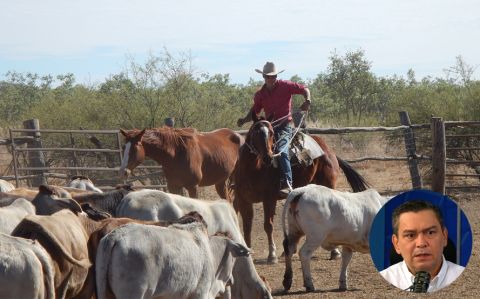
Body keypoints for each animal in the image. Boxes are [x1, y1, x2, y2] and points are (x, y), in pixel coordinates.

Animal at [96, 220, 249, 299]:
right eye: (234, 259)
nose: (231, 280)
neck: (210, 252)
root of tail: (117, 234)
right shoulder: (200, 293)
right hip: (134, 294)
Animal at [116, 127, 244, 200]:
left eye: (134, 148)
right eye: (124, 147)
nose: (122, 172)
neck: (176, 154)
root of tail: (239, 136)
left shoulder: (193, 187)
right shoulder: (174, 187)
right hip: (221, 182)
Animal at [233, 116, 368, 264]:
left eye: (271, 133)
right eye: (256, 132)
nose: (268, 157)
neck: (253, 169)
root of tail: (328, 151)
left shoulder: (269, 198)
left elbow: (268, 225)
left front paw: (272, 255)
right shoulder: (243, 200)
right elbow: (247, 226)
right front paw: (247, 252)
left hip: (329, 185)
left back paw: (335, 252)